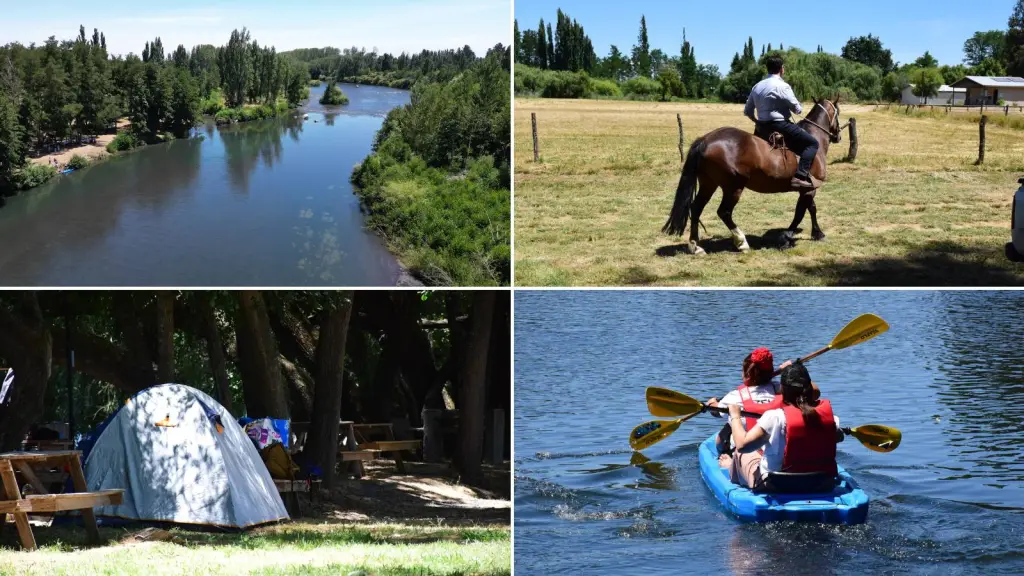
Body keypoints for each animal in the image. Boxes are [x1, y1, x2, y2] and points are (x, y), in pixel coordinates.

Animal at [663, 96, 839, 253]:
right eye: (838, 112)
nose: (838, 136)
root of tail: (705, 140)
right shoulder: (809, 189)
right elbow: (801, 213)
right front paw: (788, 237)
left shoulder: (807, 189)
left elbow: (809, 208)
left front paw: (816, 233)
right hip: (733, 187)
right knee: (724, 212)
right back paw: (741, 242)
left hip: (709, 184)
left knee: (696, 207)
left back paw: (695, 246)